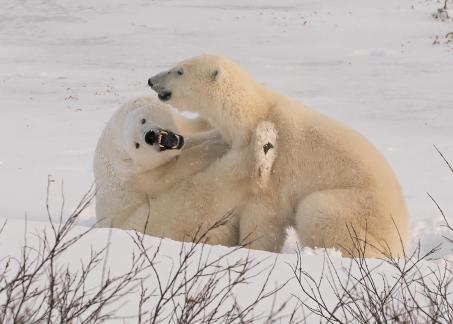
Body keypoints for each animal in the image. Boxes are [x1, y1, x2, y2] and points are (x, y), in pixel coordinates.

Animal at [94, 95, 278, 246]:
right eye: (136, 145)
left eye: (143, 120)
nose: (150, 136)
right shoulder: (141, 177)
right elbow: (179, 166)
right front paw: (216, 144)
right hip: (164, 215)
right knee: (210, 189)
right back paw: (263, 143)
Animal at [147, 53, 410, 258]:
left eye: (179, 70)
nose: (151, 80)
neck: (254, 114)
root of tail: (400, 236)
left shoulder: (277, 168)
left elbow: (264, 216)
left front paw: (251, 249)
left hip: (360, 208)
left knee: (317, 210)